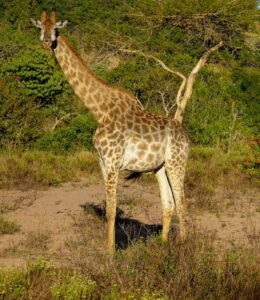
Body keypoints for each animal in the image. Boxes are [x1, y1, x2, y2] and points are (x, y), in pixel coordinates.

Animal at [32, 10, 189, 256]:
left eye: (56, 28)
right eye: (40, 27)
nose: (47, 42)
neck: (100, 111)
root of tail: (187, 136)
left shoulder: (114, 162)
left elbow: (113, 210)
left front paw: (110, 256)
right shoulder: (103, 163)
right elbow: (108, 210)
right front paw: (109, 250)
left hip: (177, 162)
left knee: (182, 202)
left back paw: (183, 248)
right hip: (160, 167)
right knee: (169, 203)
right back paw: (162, 246)